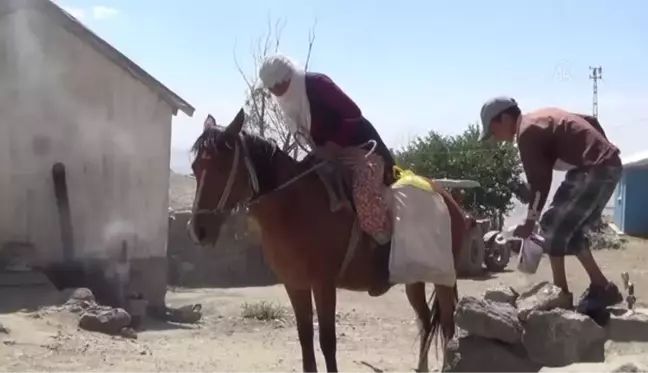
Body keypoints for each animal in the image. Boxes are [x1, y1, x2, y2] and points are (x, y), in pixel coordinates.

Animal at [187, 109, 466, 370]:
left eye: (222, 167)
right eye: (195, 169)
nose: (199, 230)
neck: (294, 207)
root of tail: (449, 199)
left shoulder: (324, 284)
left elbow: (327, 341)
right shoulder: (295, 285)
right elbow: (305, 339)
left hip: (443, 279)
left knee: (448, 328)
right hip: (414, 277)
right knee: (426, 320)